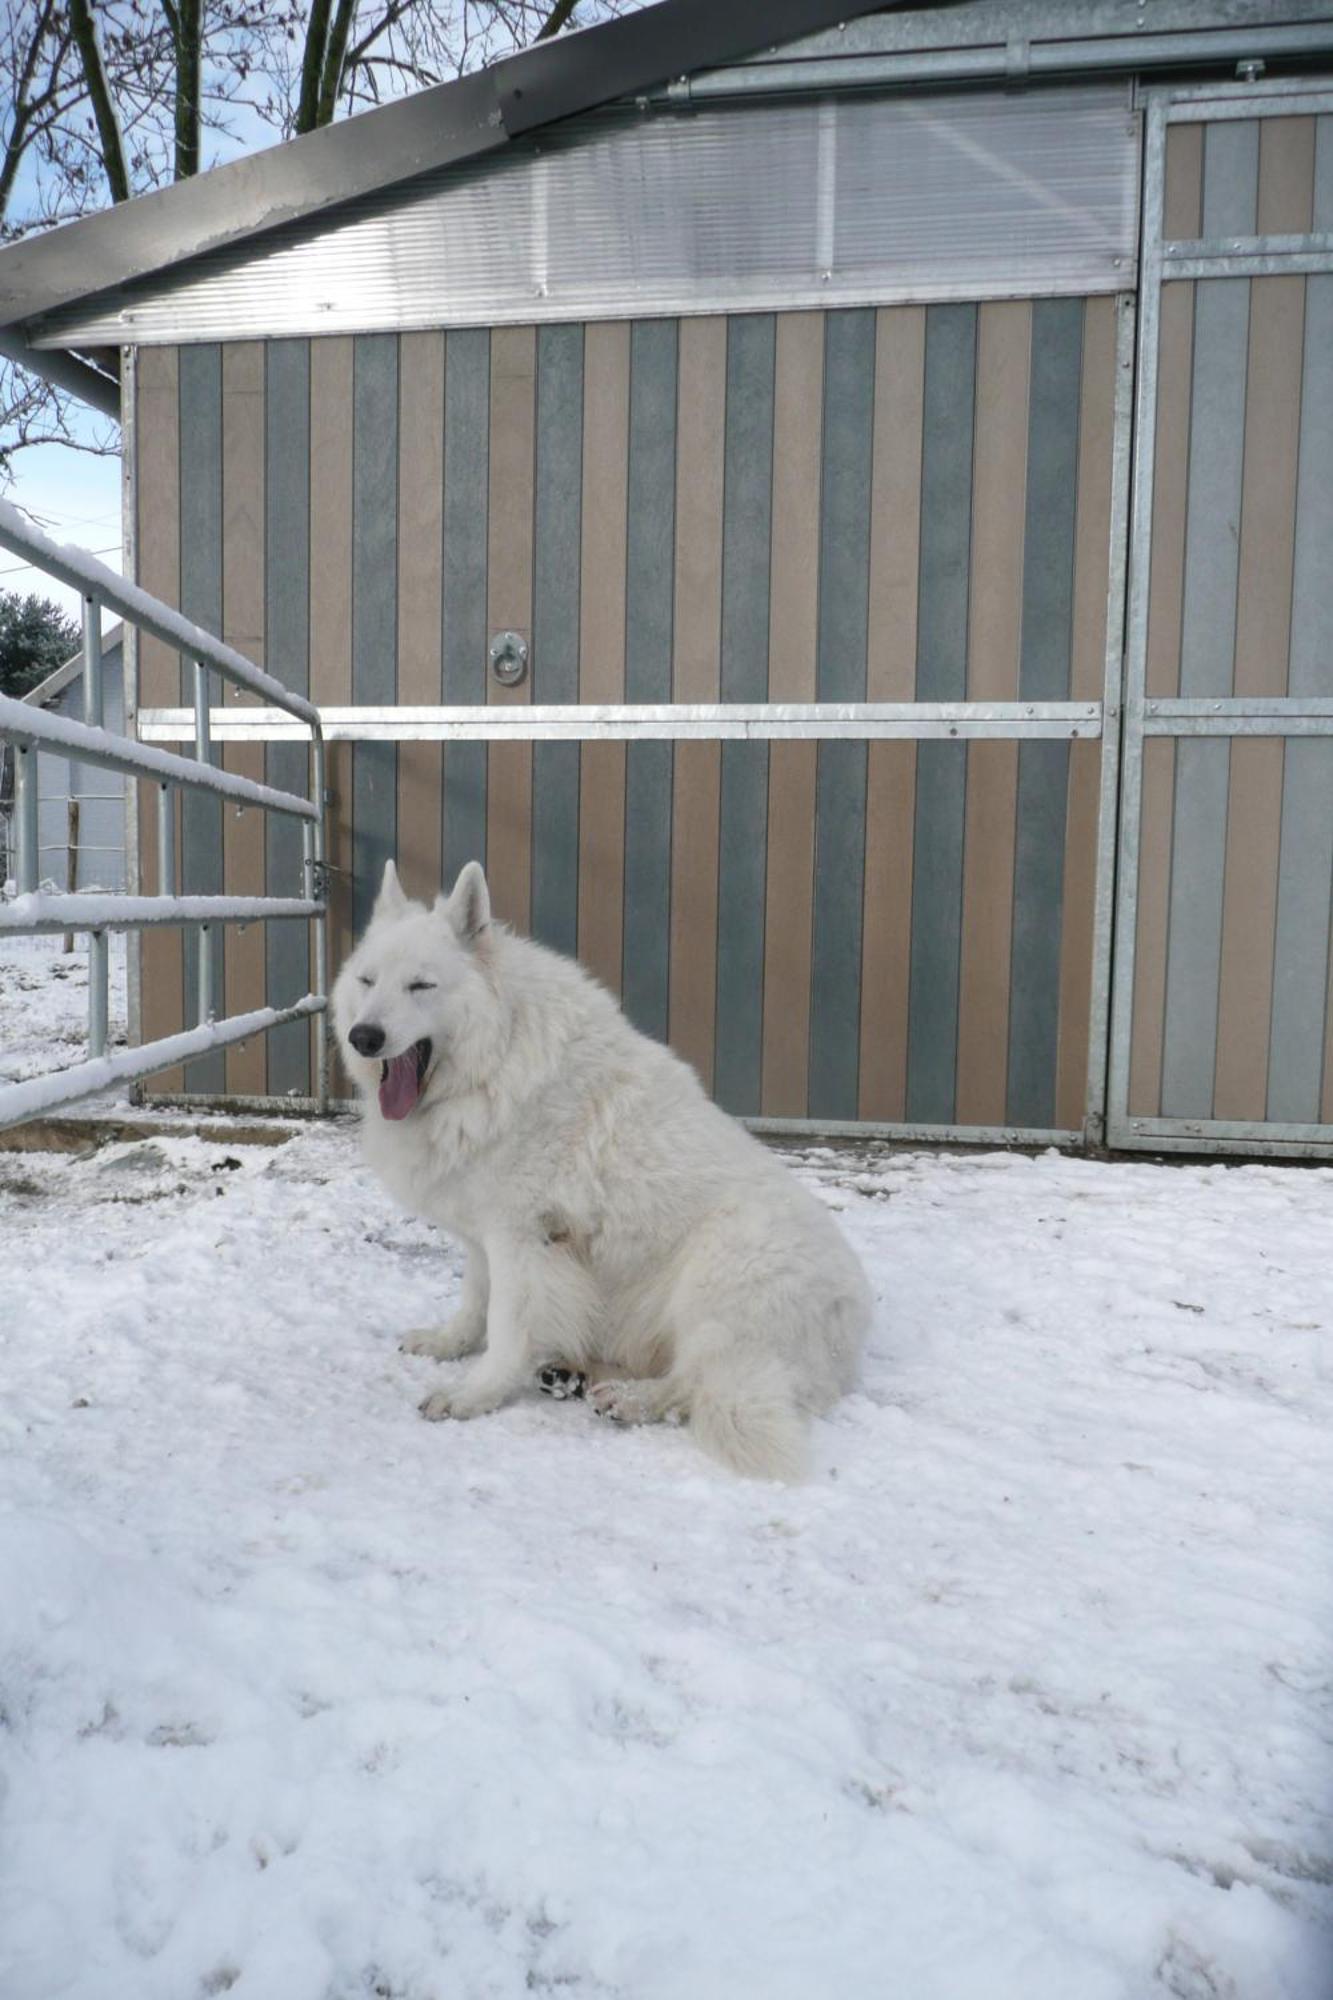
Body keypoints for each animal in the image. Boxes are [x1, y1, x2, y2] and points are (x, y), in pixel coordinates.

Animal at [332, 856, 872, 1472]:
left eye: (421, 985)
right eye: (367, 981)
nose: (365, 1037)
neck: (494, 1063)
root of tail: (851, 1330)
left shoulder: (523, 1241)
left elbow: (506, 1326)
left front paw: (476, 1393)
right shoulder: (484, 1238)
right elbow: (473, 1302)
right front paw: (449, 1344)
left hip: (713, 1284)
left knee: (693, 1382)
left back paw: (629, 1399)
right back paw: (572, 1374)